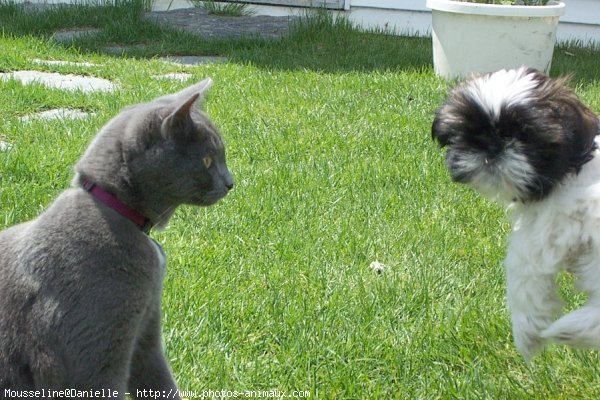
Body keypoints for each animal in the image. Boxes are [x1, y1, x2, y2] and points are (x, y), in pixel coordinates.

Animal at [0, 77, 232, 396]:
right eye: (208, 160)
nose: (231, 183)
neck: (122, 212)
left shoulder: (146, 333)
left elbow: (160, 381)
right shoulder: (98, 357)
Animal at [432, 65, 600, 360]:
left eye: (526, 134)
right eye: (469, 128)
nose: (491, 143)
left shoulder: (550, 228)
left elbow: (521, 268)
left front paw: (527, 331)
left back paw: (569, 329)